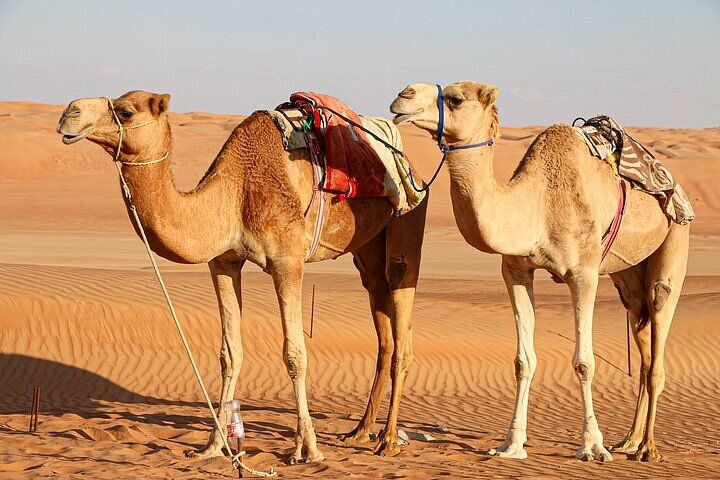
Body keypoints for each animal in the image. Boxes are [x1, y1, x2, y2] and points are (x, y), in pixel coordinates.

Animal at [56, 90, 429, 462]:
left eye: (125, 111)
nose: (68, 113)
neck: (234, 192)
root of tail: (410, 165)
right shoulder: (223, 262)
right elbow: (229, 353)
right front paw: (213, 445)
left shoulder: (287, 261)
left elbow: (294, 353)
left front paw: (307, 448)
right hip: (366, 245)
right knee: (380, 315)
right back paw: (360, 431)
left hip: (409, 213)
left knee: (401, 305)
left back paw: (388, 440)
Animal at [390, 82, 689, 462]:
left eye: (456, 99)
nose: (403, 95)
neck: (538, 206)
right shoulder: (516, 270)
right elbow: (523, 361)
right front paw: (512, 444)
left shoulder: (583, 273)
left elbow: (584, 362)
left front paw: (592, 445)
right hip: (629, 277)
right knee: (643, 338)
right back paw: (629, 441)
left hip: (675, 238)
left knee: (659, 328)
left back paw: (648, 448)